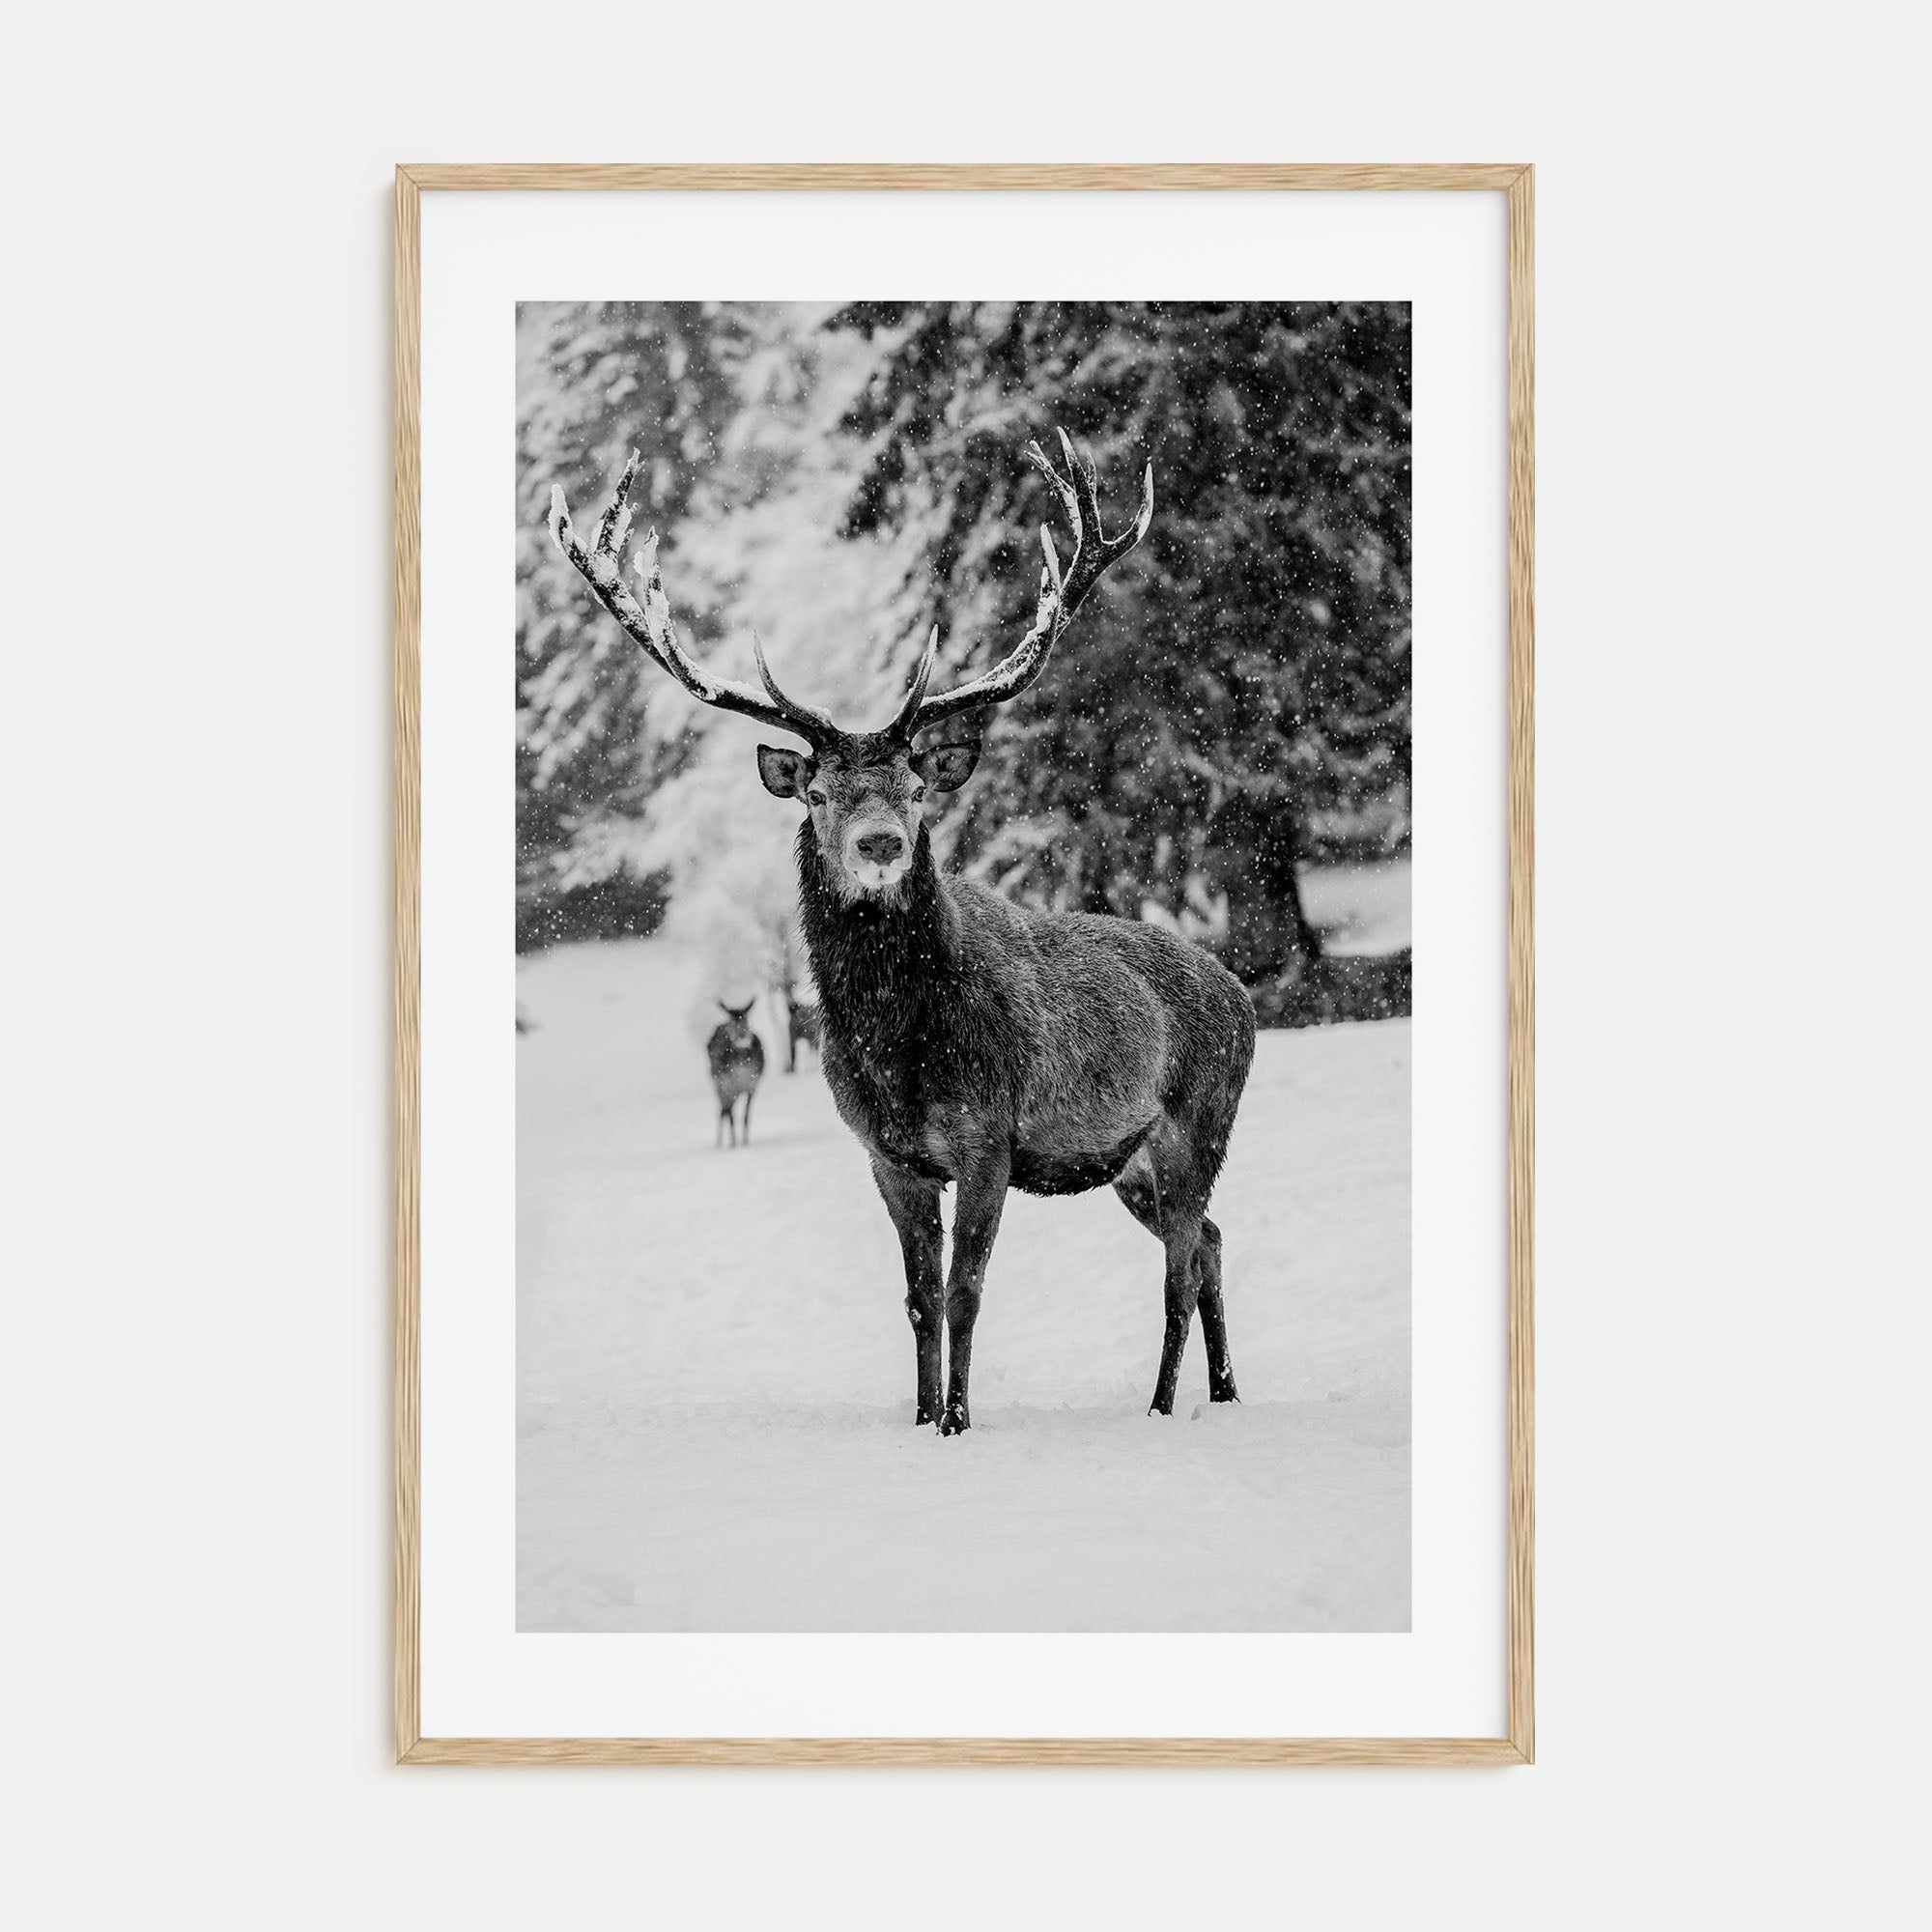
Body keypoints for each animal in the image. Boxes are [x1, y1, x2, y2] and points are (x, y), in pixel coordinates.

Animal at [705, 1000, 765, 1148]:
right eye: (731, 1020)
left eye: (747, 1018)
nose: (742, 1034)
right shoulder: (728, 1085)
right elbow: (731, 1114)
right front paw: (733, 1143)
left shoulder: (752, 1086)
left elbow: (746, 1115)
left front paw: (745, 1142)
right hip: (718, 1083)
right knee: (723, 1110)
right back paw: (720, 1143)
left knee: (724, 1109)